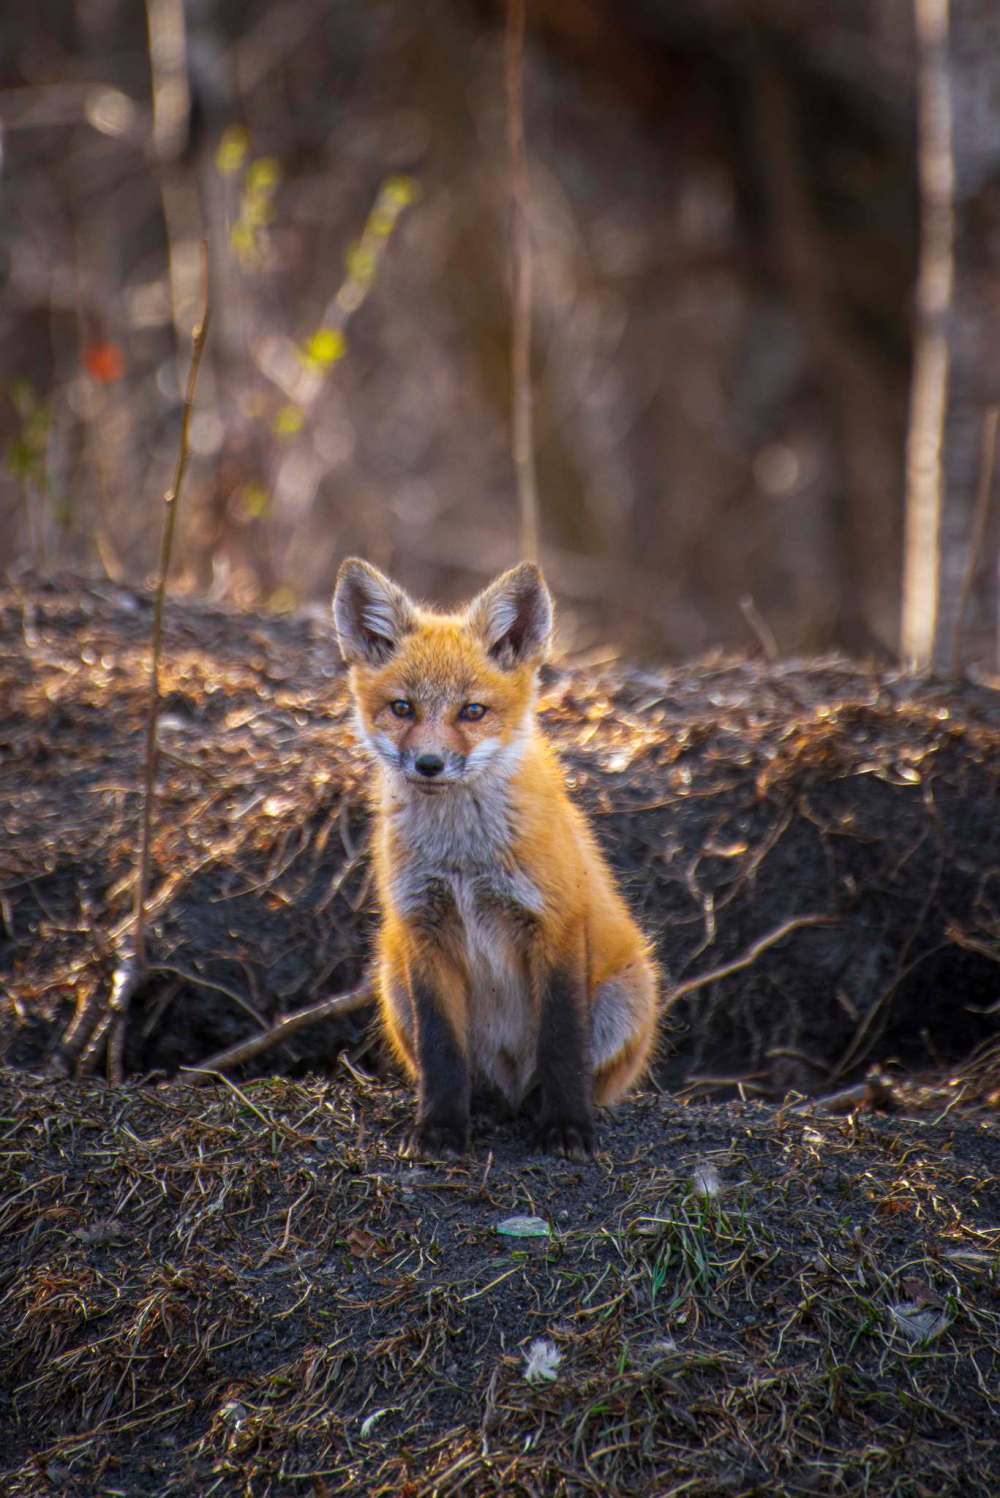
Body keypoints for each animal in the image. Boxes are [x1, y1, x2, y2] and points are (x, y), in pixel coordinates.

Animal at [333, 557, 658, 1159]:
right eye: (402, 709)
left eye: (472, 712)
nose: (429, 764)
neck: (464, 860)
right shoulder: (423, 928)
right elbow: (442, 1050)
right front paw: (439, 1128)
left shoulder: (553, 921)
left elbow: (561, 1042)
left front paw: (567, 1127)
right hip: (393, 981)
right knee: (475, 1076)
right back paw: (482, 1107)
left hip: (627, 995)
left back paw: (538, 1109)